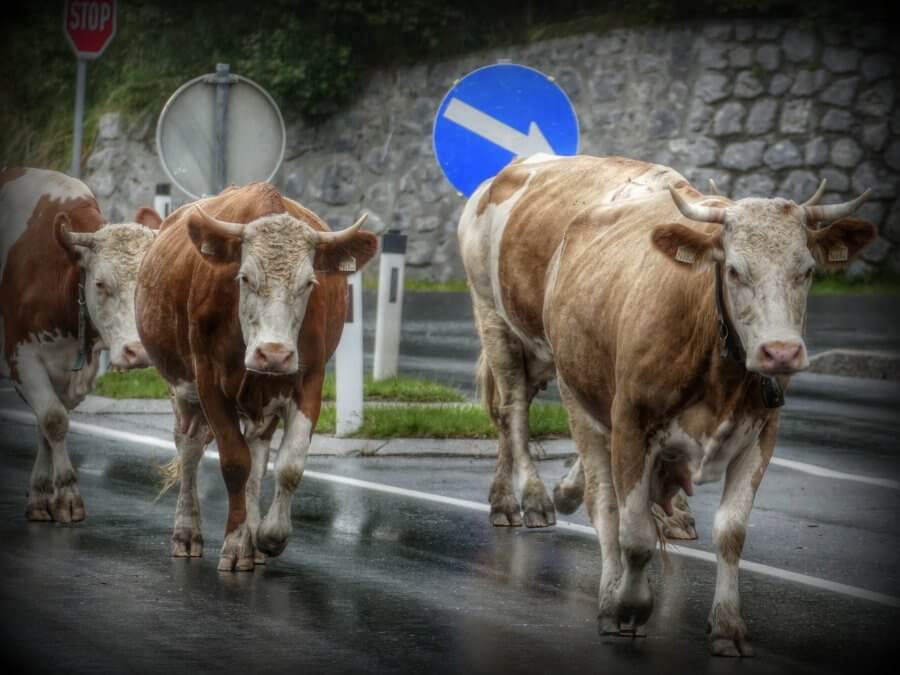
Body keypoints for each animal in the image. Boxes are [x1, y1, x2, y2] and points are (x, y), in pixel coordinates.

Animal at [0, 168, 159, 524]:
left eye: (148, 282)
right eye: (100, 283)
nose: (139, 351)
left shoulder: (74, 373)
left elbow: (46, 425)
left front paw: (43, 494)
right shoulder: (22, 358)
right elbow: (53, 420)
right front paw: (68, 494)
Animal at [134, 182, 376, 572]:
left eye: (309, 283)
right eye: (245, 277)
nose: (273, 353)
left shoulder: (309, 380)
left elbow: (288, 465)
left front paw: (268, 536)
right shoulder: (209, 384)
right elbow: (235, 464)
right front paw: (235, 544)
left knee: (257, 457)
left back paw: (253, 540)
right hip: (184, 392)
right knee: (189, 449)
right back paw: (187, 532)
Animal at [458, 154, 872, 656]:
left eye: (807, 270)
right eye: (734, 270)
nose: (781, 352)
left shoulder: (759, 435)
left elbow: (731, 532)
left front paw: (728, 625)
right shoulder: (630, 421)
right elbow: (632, 531)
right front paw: (628, 604)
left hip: (545, 356)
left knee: (506, 414)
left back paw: (509, 497)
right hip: (497, 323)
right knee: (518, 416)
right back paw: (533, 501)